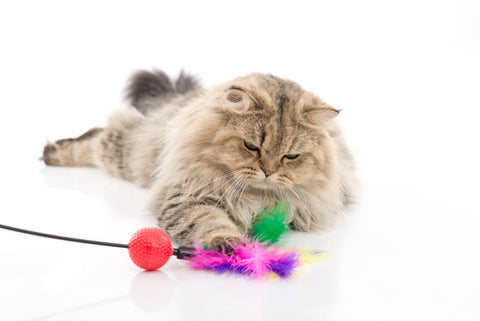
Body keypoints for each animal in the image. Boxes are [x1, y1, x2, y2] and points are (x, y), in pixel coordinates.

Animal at [41, 69, 356, 246]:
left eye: (291, 156)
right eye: (251, 146)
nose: (267, 171)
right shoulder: (187, 197)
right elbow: (210, 223)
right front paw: (228, 245)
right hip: (128, 156)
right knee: (97, 137)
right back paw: (53, 153)